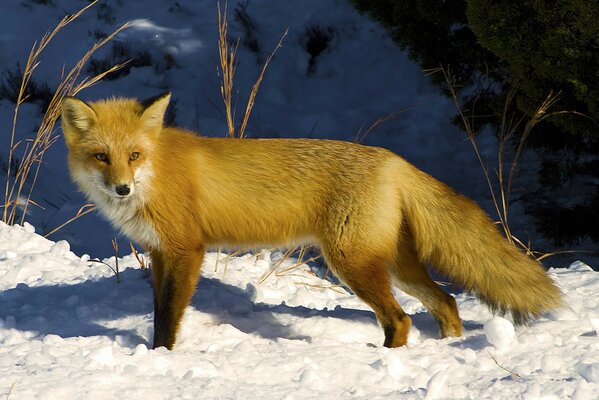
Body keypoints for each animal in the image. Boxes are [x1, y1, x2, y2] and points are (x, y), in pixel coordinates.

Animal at [59, 94, 564, 350]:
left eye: (134, 156)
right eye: (102, 157)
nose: (122, 189)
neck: (157, 174)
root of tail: (393, 159)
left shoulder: (187, 250)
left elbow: (168, 318)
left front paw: (162, 356)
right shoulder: (160, 252)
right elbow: (158, 311)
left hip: (351, 262)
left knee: (400, 319)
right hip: (394, 265)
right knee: (447, 302)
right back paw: (445, 349)